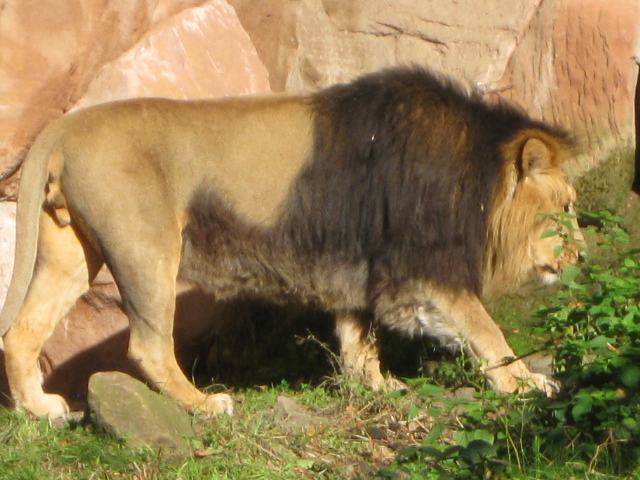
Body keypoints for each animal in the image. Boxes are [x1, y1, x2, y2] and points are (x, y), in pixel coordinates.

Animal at [0, 65, 584, 418]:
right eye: (566, 209)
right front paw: (526, 385)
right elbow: (486, 332)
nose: (581, 255)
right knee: (147, 344)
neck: (477, 174)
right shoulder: (422, 268)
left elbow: (359, 337)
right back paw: (204, 405)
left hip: (70, 251)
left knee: (22, 332)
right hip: (147, 248)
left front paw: (378, 387)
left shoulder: (361, 265)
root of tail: (65, 128)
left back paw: (42, 411)